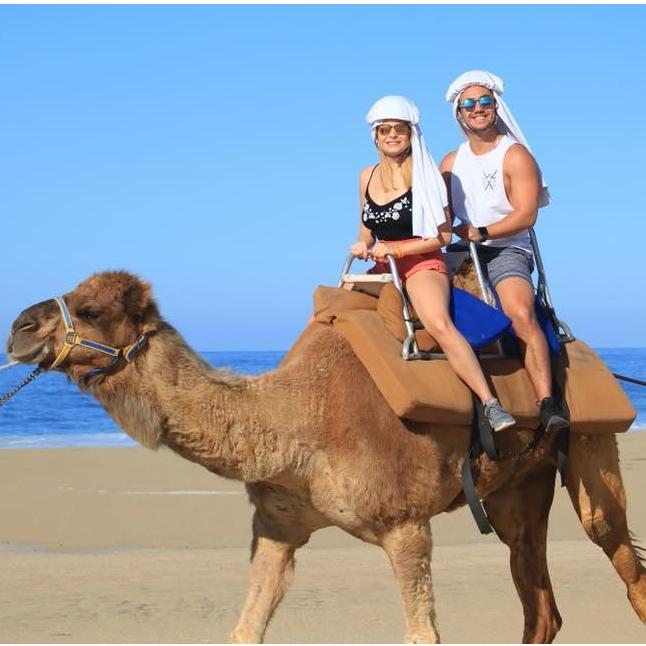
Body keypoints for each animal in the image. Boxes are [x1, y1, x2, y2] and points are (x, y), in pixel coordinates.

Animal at [6, 270, 646, 644]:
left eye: (92, 310)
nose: (17, 327)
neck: (299, 424)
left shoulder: (406, 526)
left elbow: (423, 635)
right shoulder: (277, 526)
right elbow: (245, 630)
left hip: (589, 452)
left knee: (618, 554)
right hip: (518, 486)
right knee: (539, 602)